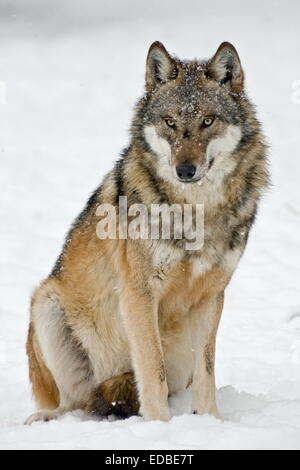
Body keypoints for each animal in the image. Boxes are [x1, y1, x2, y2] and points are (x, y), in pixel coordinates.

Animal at [25, 39, 270, 422]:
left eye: (207, 121)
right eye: (170, 122)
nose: (185, 170)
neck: (195, 211)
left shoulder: (212, 295)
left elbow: (207, 372)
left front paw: (210, 421)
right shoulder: (139, 294)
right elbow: (153, 371)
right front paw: (160, 426)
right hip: (46, 303)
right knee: (73, 402)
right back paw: (44, 418)